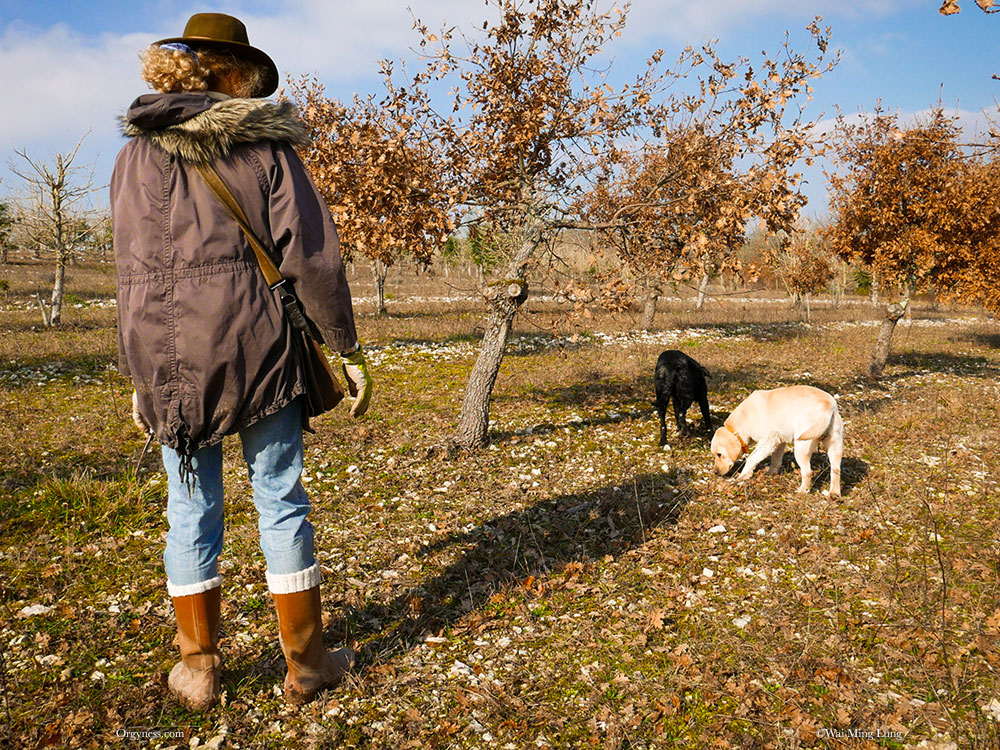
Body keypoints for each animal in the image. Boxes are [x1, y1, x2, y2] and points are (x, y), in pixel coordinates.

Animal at [712, 388, 844, 500]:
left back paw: (802, 491)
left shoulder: (768, 440)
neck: (743, 419)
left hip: (801, 448)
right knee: (836, 470)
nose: (716, 473)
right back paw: (834, 493)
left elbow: (751, 458)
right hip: (835, 447)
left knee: (807, 472)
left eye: (719, 454)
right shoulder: (779, 442)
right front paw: (771, 473)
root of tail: (829, 405)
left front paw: (742, 476)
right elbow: (775, 460)